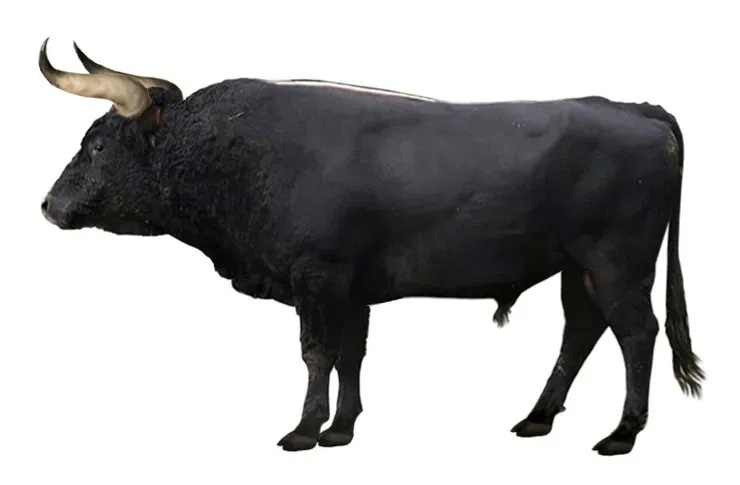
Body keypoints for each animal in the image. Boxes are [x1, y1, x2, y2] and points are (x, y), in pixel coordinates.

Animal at [38, 37, 704, 456]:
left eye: (97, 144)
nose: (48, 205)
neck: (234, 154)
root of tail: (635, 108)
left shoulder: (318, 277)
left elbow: (317, 354)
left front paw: (305, 430)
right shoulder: (351, 289)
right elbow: (351, 355)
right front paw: (342, 428)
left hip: (617, 263)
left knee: (637, 332)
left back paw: (623, 432)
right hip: (578, 268)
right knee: (582, 331)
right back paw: (538, 417)